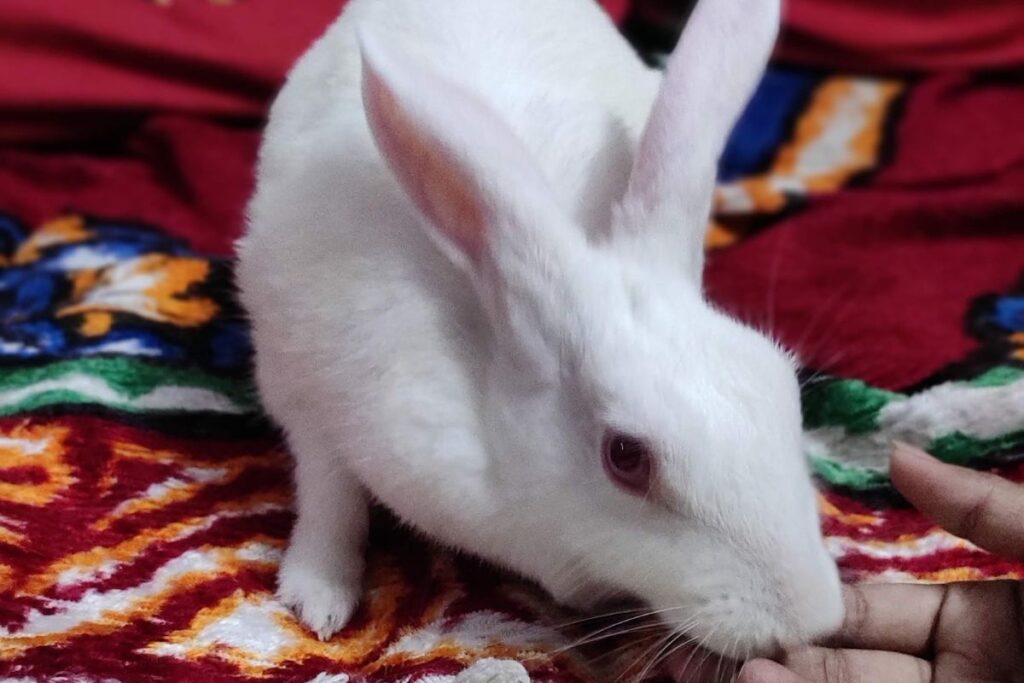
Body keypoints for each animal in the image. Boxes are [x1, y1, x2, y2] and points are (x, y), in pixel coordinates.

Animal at [235, 0, 844, 659]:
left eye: (786, 390)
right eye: (626, 457)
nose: (810, 619)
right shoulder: (307, 394)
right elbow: (329, 498)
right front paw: (319, 599)